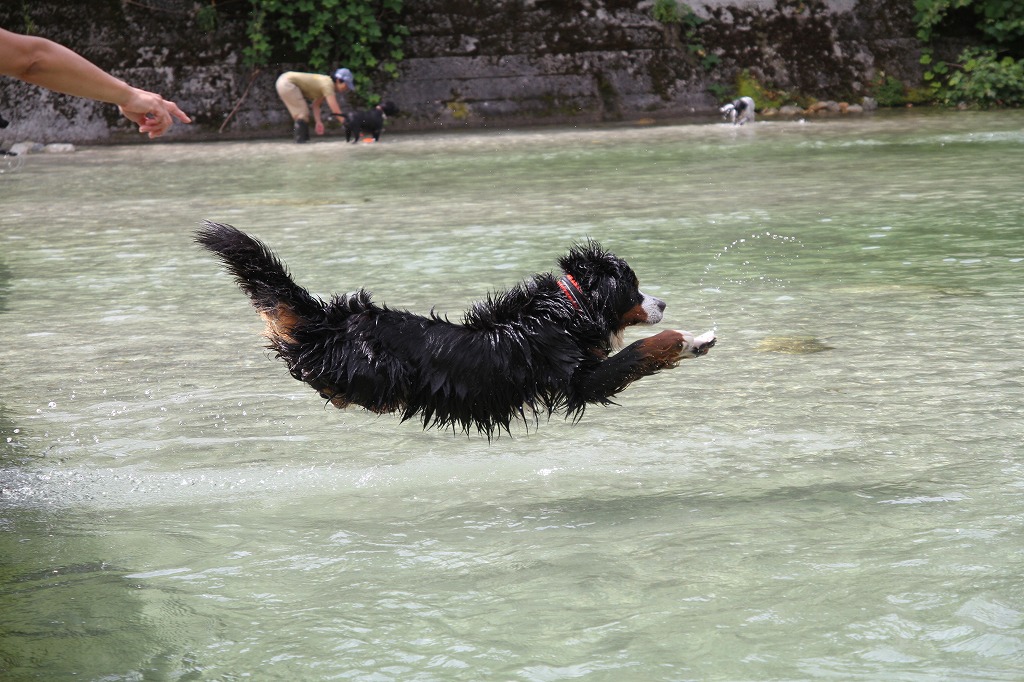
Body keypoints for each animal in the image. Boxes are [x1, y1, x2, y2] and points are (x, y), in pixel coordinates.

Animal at [195, 222, 716, 436]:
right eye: (633, 289)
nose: (662, 302)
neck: (563, 310)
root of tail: (333, 318)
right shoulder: (579, 380)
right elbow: (645, 349)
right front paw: (693, 339)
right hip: (374, 370)